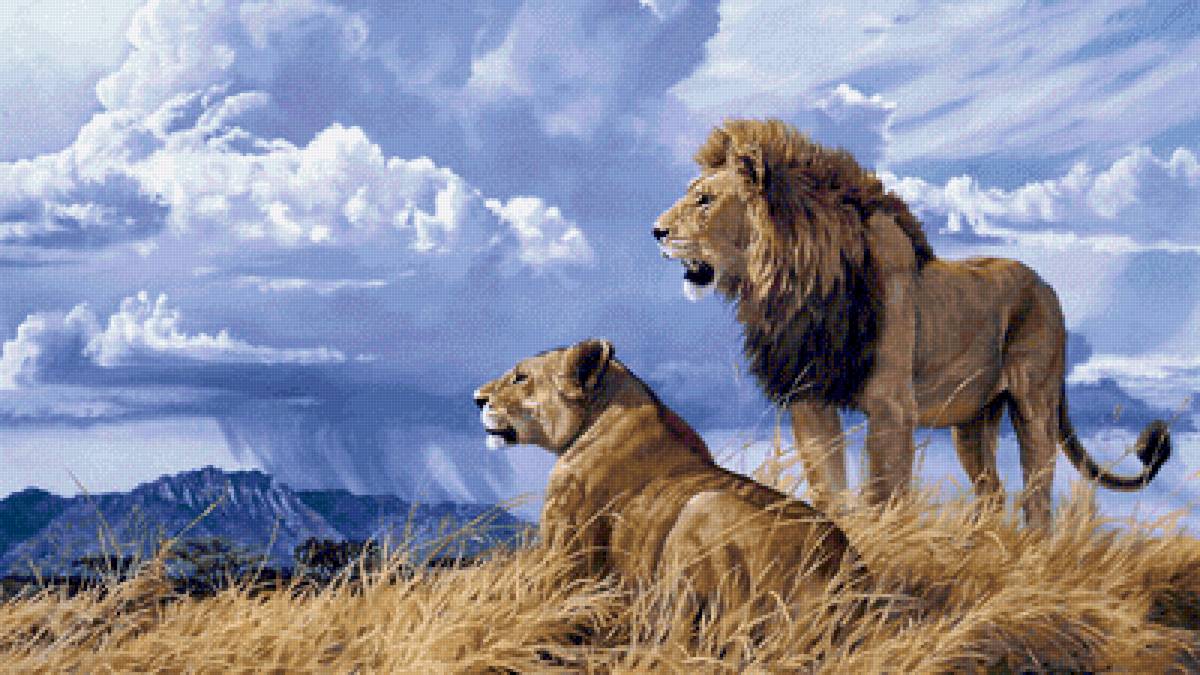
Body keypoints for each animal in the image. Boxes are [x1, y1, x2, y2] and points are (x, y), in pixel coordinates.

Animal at [652, 118, 1171, 529]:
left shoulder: (891, 407)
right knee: (992, 493)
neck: (794, 283)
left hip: (1034, 403)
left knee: (1037, 495)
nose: (656, 231)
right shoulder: (810, 398)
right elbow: (830, 489)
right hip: (974, 418)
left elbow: (883, 497)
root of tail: (1046, 285)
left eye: (704, 199)